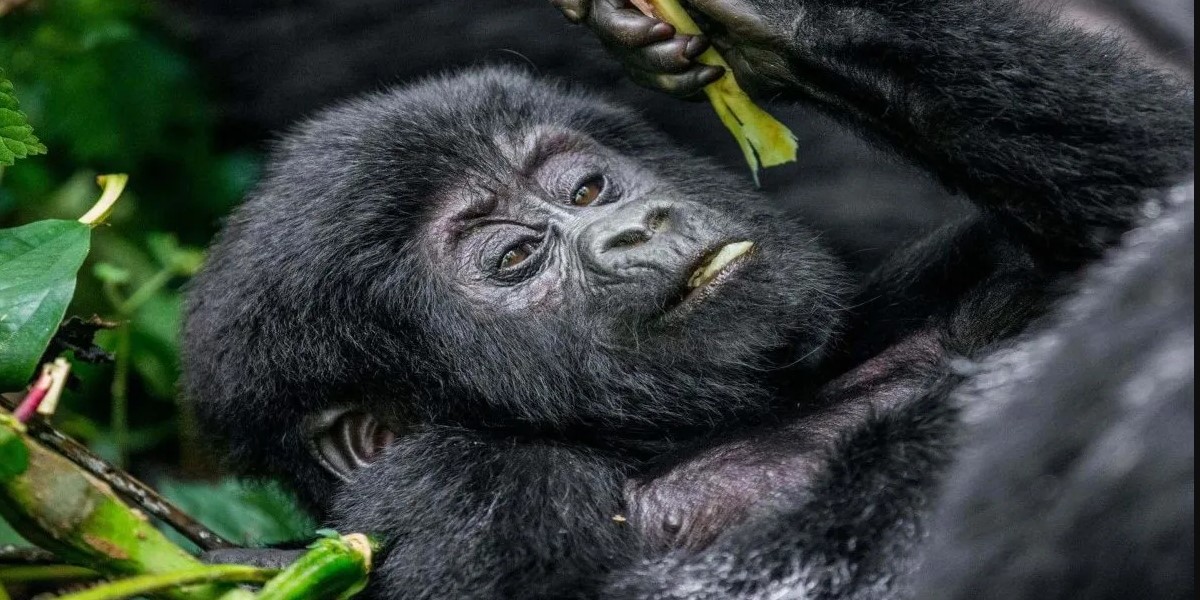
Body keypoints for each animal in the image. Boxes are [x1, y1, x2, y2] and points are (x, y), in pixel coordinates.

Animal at [184, 0, 1190, 595]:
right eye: (514, 257)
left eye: (587, 188)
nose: (635, 225)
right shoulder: (460, 489)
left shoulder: (934, 292)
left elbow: (1161, 193)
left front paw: (774, 26)